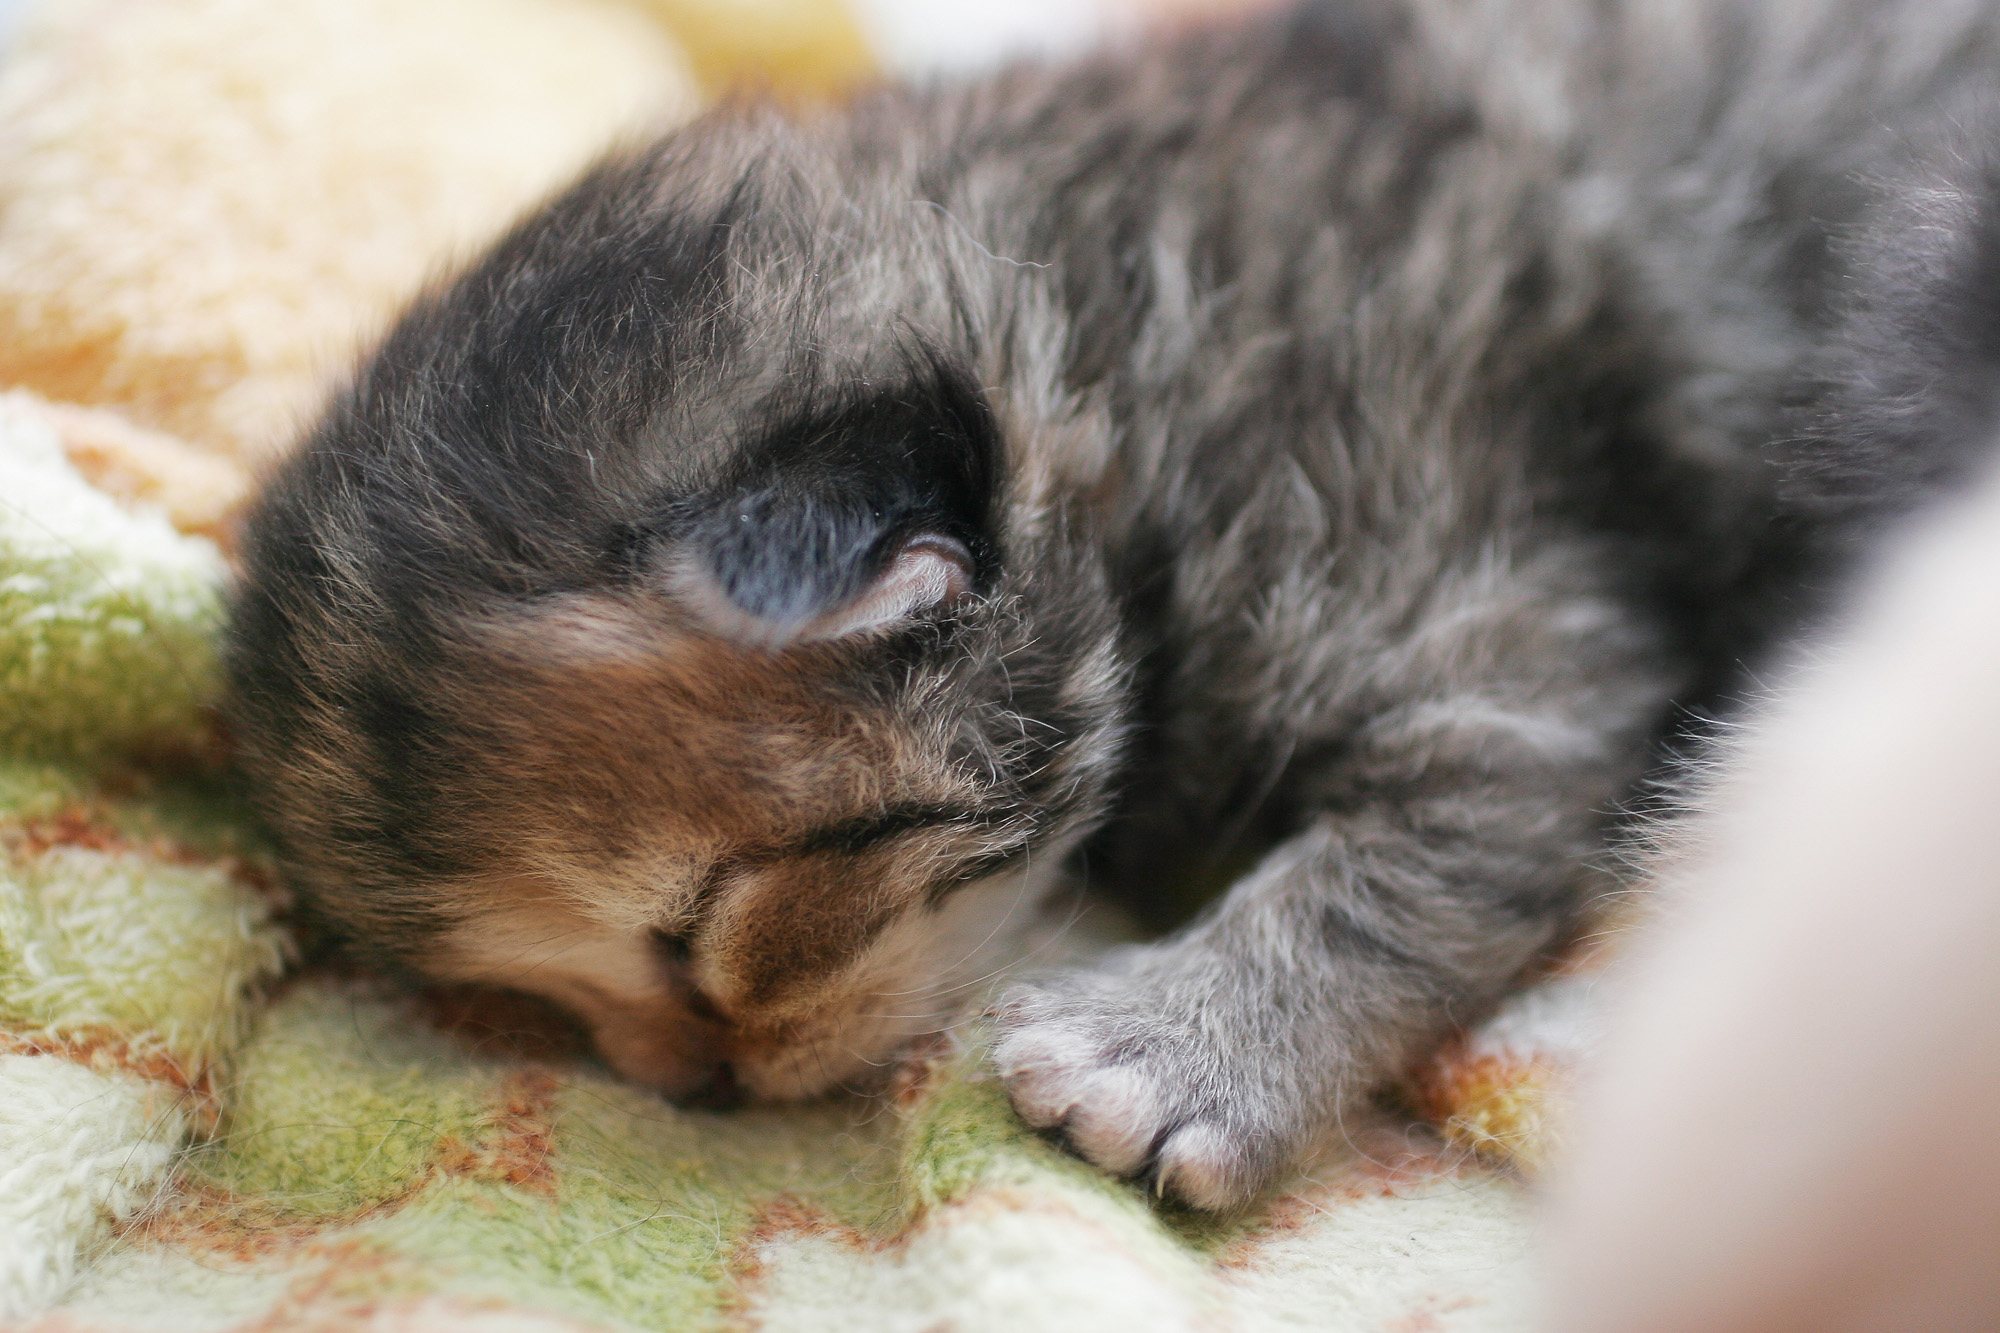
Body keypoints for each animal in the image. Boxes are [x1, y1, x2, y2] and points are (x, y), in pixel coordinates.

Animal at [219, 0, 2000, 1200]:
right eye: (546, 999)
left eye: (708, 925)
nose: (705, 1086)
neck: (1102, 330)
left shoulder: (1495, 617)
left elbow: (1409, 858)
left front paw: (1174, 1054)